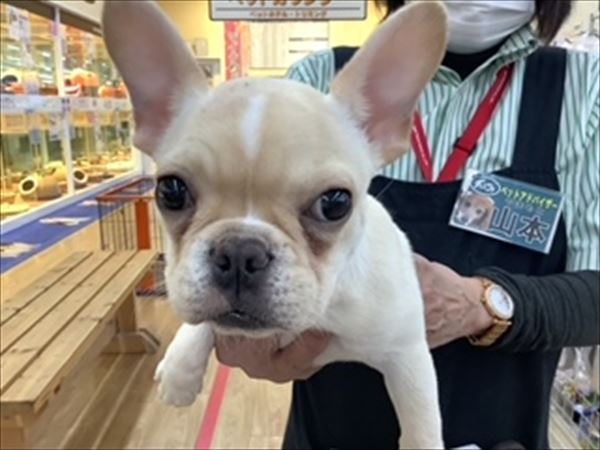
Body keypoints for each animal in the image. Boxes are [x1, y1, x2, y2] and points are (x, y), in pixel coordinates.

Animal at [102, 2, 448, 448]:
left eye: (335, 203)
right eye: (171, 191)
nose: (239, 251)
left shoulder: (407, 354)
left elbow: (422, 426)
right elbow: (200, 316)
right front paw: (180, 367)